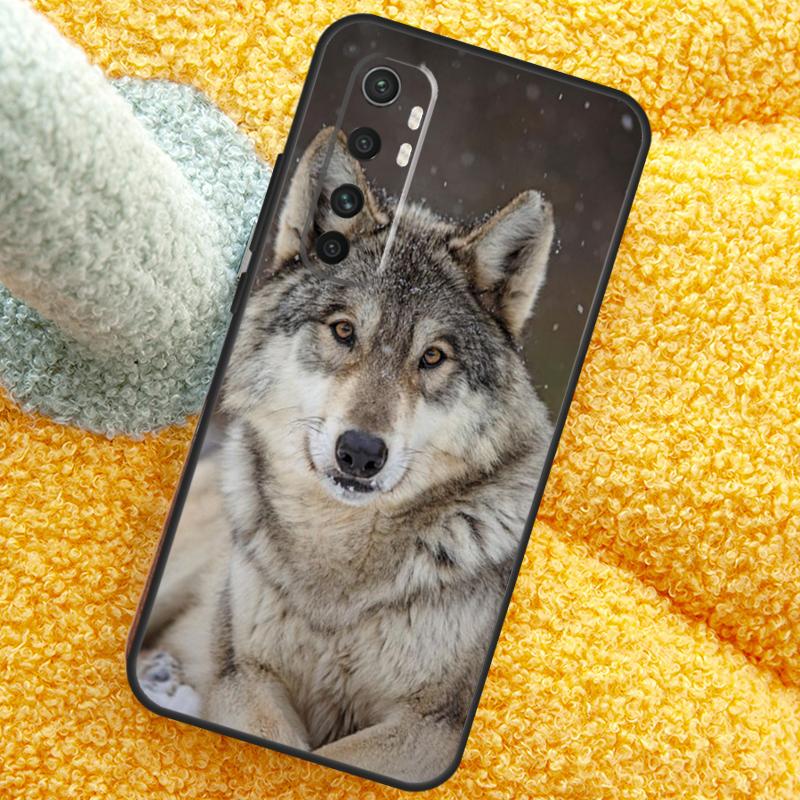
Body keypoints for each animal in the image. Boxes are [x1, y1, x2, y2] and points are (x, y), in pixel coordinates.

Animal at [138, 127, 555, 786]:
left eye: (432, 357)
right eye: (342, 330)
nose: (360, 453)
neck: (337, 578)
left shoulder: (436, 727)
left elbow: (335, 758)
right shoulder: (243, 674)